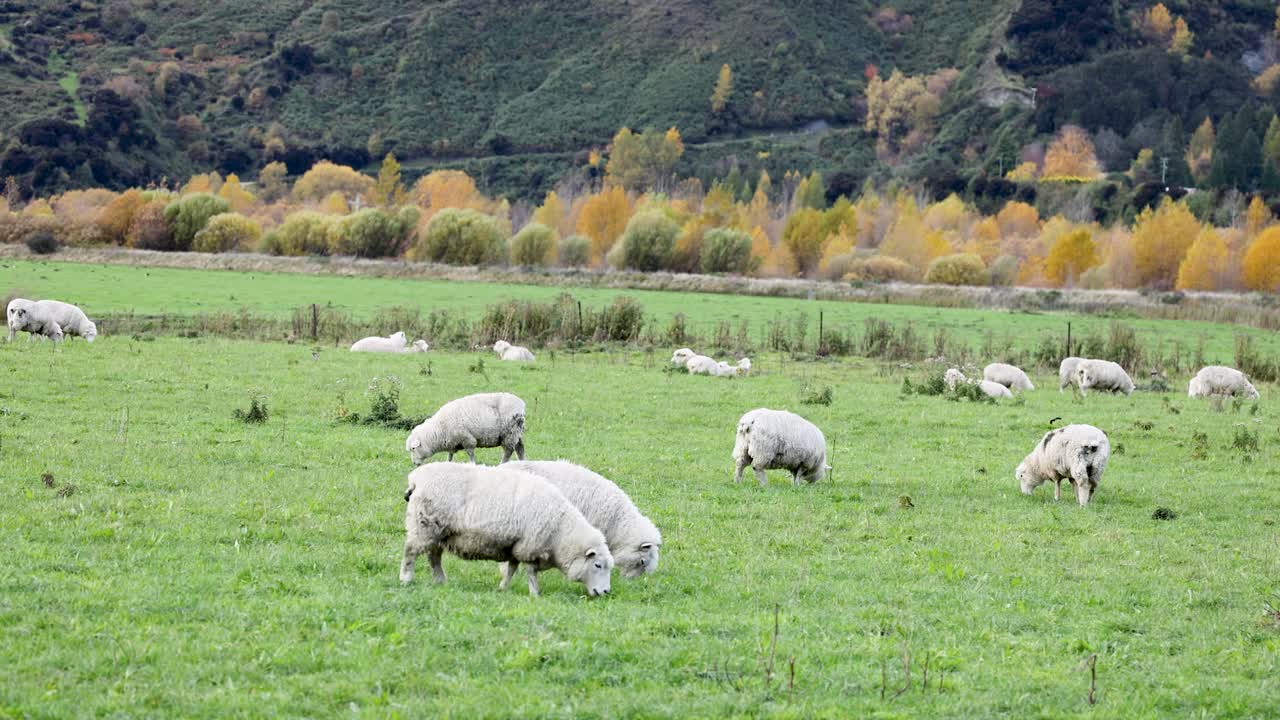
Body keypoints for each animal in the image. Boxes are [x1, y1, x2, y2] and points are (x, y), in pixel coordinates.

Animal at [400, 463, 613, 596]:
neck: (560, 532)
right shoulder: (529, 546)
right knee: (411, 552)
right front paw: (535, 593)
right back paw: (406, 579)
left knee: (434, 557)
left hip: (438, 531)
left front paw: (503, 588)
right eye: (597, 565)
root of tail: (416, 478)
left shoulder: (515, 545)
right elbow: (530, 572)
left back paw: (440, 581)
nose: (605, 592)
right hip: (423, 525)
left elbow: (512, 568)